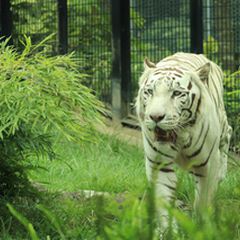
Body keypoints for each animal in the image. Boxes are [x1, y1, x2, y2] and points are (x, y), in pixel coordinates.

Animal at [137, 53, 232, 229]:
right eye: (149, 92)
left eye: (176, 93)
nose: (155, 117)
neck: (179, 137)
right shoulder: (159, 164)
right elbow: (164, 199)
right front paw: (168, 231)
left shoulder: (207, 164)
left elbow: (203, 200)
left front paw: (201, 227)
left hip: (222, 123)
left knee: (228, 132)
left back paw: (221, 173)